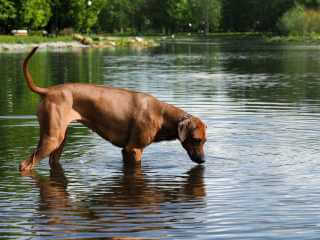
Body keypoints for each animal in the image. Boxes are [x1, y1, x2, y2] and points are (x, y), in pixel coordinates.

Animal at [19, 46, 208, 171]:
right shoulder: (134, 149)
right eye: (196, 139)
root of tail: (47, 91)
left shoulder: (125, 151)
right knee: (24, 165)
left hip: (59, 141)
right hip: (52, 139)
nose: (203, 160)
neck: (162, 116)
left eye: (205, 141)